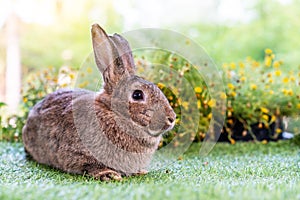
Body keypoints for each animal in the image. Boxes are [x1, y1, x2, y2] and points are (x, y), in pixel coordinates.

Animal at [22, 24, 176, 180]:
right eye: (137, 95)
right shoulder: (79, 154)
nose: (172, 118)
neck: (113, 114)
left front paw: (140, 172)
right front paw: (109, 175)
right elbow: (89, 166)